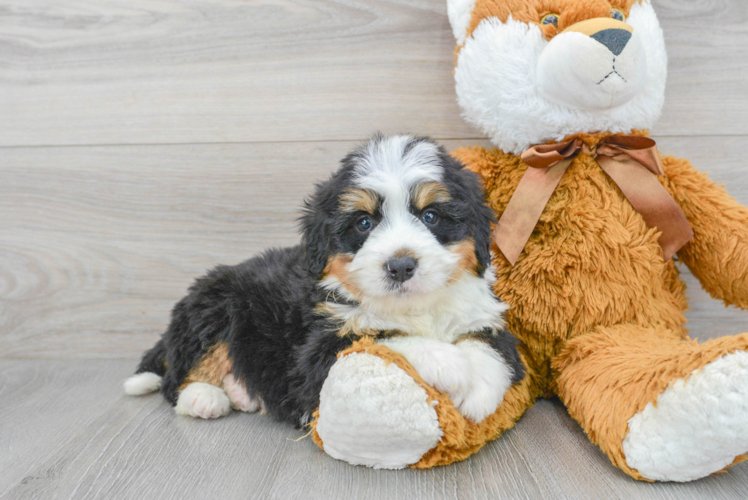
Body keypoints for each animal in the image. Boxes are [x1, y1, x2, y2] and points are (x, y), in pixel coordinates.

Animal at [124, 135, 520, 428]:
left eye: (431, 216)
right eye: (364, 223)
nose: (400, 266)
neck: (413, 306)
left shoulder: (484, 315)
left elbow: (490, 345)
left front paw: (480, 390)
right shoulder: (317, 351)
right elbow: (380, 336)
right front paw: (448, 362)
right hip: (215, 307)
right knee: (178, 378)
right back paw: (205, 397)